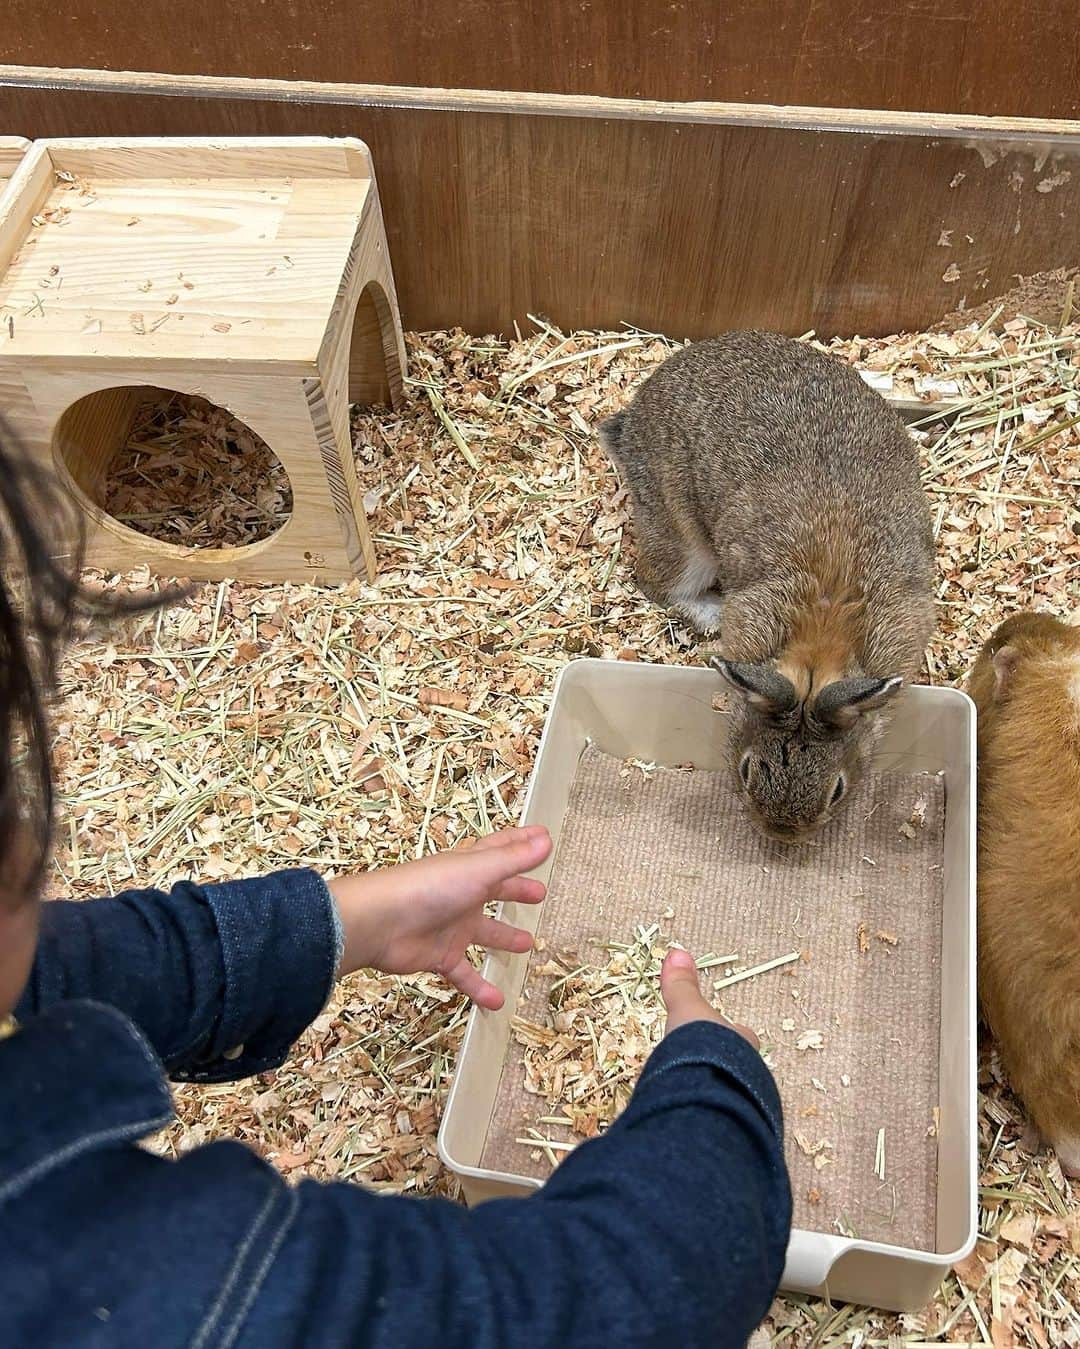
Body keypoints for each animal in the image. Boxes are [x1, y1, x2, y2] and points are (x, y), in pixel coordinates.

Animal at [598, 331, 933, 836]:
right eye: (746, 770)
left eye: (837, 790)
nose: (781, 835)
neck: (823, 629)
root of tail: (633, 420)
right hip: (680, 533)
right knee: (662, 584)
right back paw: (711, 615)